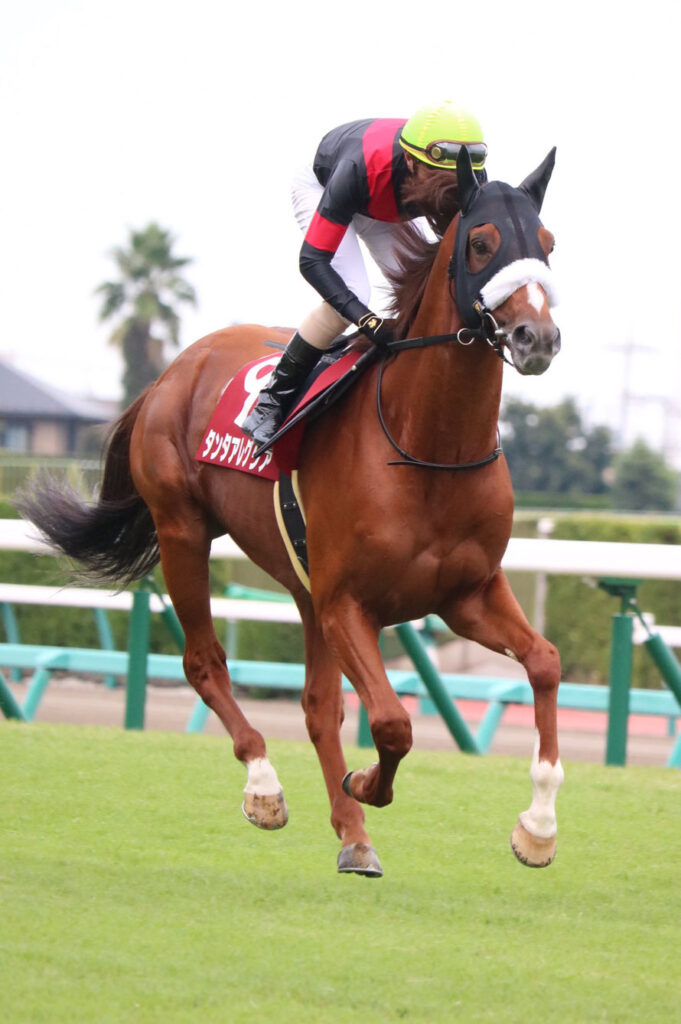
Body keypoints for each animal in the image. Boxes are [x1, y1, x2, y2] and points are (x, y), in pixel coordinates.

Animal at [21, 148, 561, 876]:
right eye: (481, 243)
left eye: (548, 245)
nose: (538, 337)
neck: (427, 447)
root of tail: (171, 371)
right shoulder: (347, 603)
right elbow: (391, 722)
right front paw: (364, 781)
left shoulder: (465, 594)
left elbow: (544, 662)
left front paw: (537, 826)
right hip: (184, 530)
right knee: (204, 662)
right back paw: (265, 787)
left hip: (302, 588)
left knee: (315, 706)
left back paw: (353, 837)